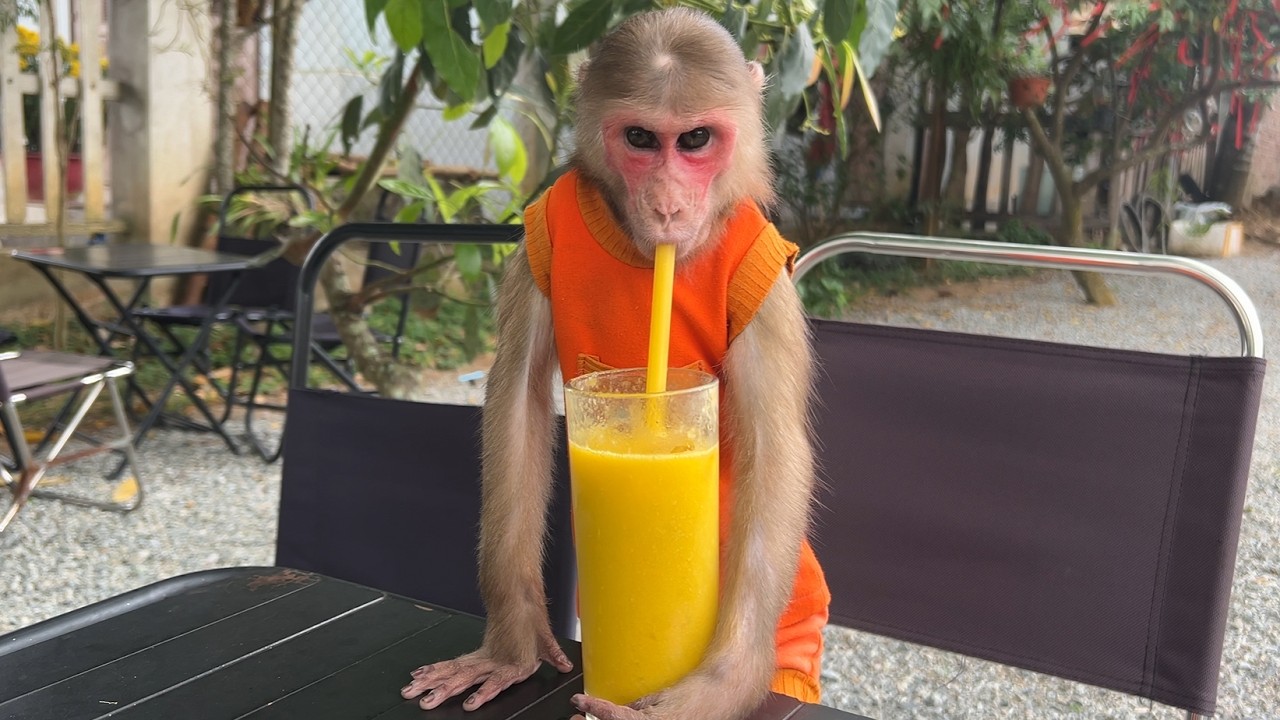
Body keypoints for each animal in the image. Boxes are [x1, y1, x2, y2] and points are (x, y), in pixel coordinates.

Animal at [400, 9, 830, 719]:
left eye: (695, 140)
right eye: (640, 139)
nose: (667, 205)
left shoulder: (766, 277)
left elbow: (773, 453)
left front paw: (721, 685)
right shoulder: (540, 230)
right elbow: (518, 396)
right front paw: (513, 643)